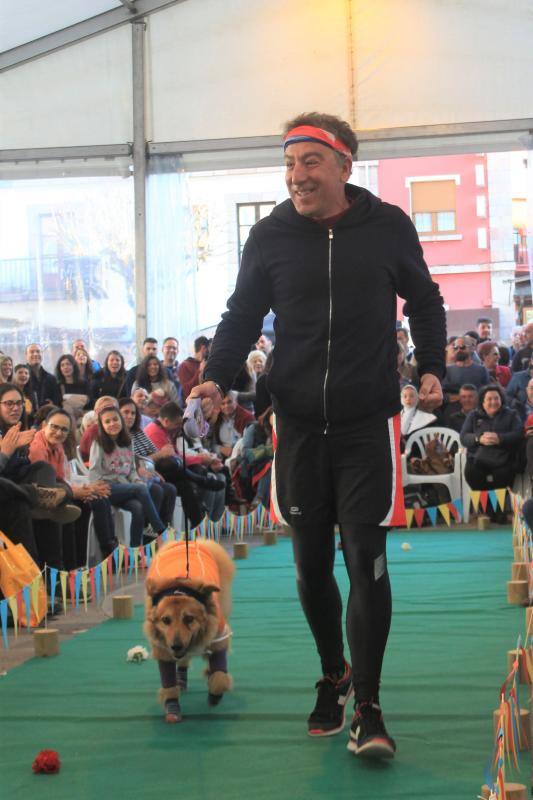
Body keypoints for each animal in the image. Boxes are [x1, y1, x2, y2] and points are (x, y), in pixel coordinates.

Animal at [142, 540, 234, 720]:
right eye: (165, 620)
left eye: (189, 619)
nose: (176, 646)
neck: (180, 587)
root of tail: (190, 541)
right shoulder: (163, 648)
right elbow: (168, 683)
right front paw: (172, 707)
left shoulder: (218, 636)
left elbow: (219, 675)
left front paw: (215, 694)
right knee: (183, 662)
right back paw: (182, 680)